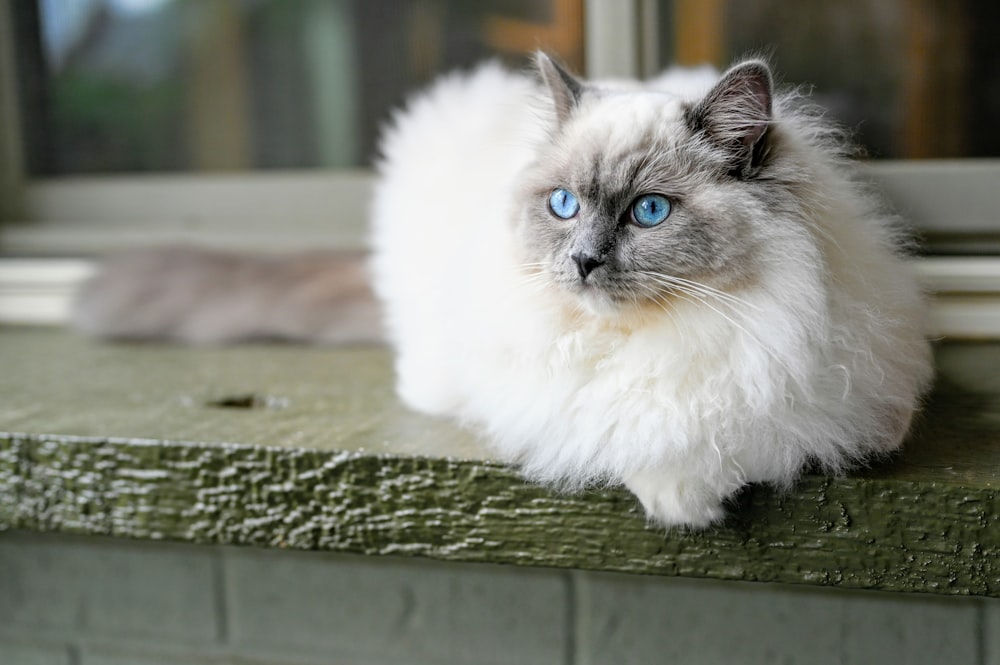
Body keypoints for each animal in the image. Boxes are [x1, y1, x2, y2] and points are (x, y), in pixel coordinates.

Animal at [74, 53, 932, 528]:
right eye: (564, 205)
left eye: (649, 212)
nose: (582, 261)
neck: (660, 333)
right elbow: (633, 433)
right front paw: (680, 501)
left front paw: (691, 492)